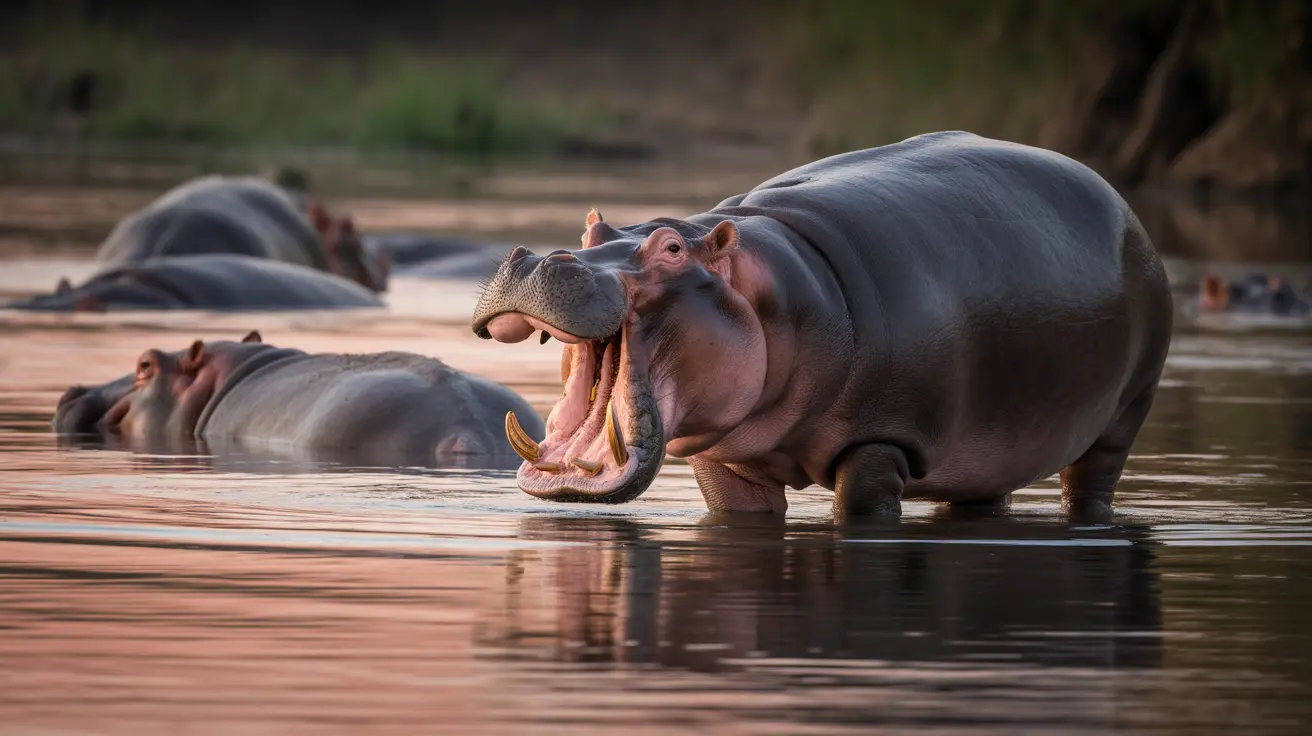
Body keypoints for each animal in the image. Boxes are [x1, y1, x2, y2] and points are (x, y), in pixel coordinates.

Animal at [471, 131, 1174, 521]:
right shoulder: (730, 466)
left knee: (1092, 482)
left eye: (670, 249)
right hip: (988, 454)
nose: (540, 258)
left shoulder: (881, 442)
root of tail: (1125, 209)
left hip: (1126, 411)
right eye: (593, 230)